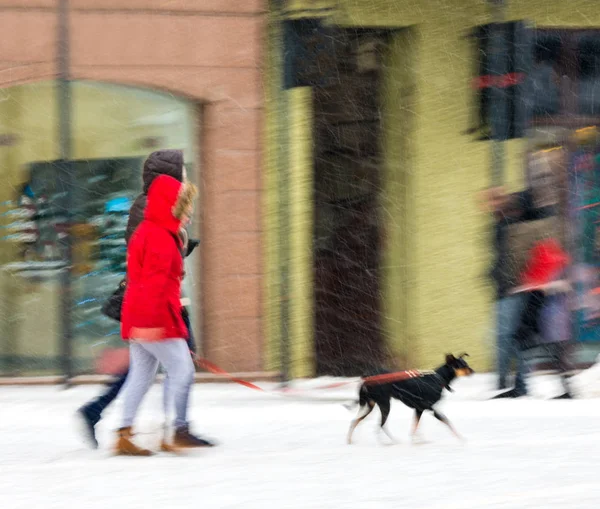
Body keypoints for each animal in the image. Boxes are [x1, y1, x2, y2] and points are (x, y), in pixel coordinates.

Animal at [346, 354, 474, 444]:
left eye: (466, 364)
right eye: (463, 366)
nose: (473, 371)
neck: (438, 378)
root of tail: (366, 377)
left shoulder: (419, 409)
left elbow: (415, 427)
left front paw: (418, 440)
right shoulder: (432, 409)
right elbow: (448, 422)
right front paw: (461, 438)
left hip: (370, 406)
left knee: (355, 421)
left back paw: (350, 440)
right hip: (385, 404)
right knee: (380, 425)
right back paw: (389, 442)